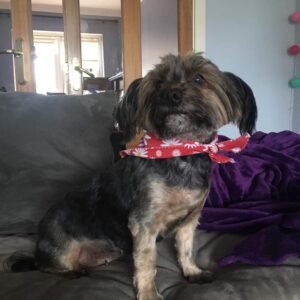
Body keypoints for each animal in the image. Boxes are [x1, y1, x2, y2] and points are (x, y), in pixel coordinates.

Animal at [8, 53, 256, 300]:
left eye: (198, 79)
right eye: (158, 83)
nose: (171, 94)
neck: (182, 152)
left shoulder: (190, 219)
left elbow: (185, 248)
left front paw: (192, 271)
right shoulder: (144, 222)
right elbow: (147, 262)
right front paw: (148, 294)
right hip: (61, 250)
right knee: (48, 266)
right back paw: (71, 272)